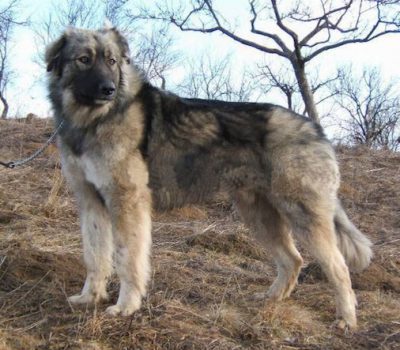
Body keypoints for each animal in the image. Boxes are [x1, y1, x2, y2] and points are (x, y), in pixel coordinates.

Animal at [45, 26, 374, 330]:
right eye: (84, 60)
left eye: (112, 61)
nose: (109, 89)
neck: (95, 120)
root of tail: (316, 130)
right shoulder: (91, 202)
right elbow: (95, 256)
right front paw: (89, 297)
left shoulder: (127, 203)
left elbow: (128, 260)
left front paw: (126, 306)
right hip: (258, 215)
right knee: (293, 259)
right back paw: (271, 299)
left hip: (303, 215)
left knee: (339, 268)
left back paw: (346, 319)